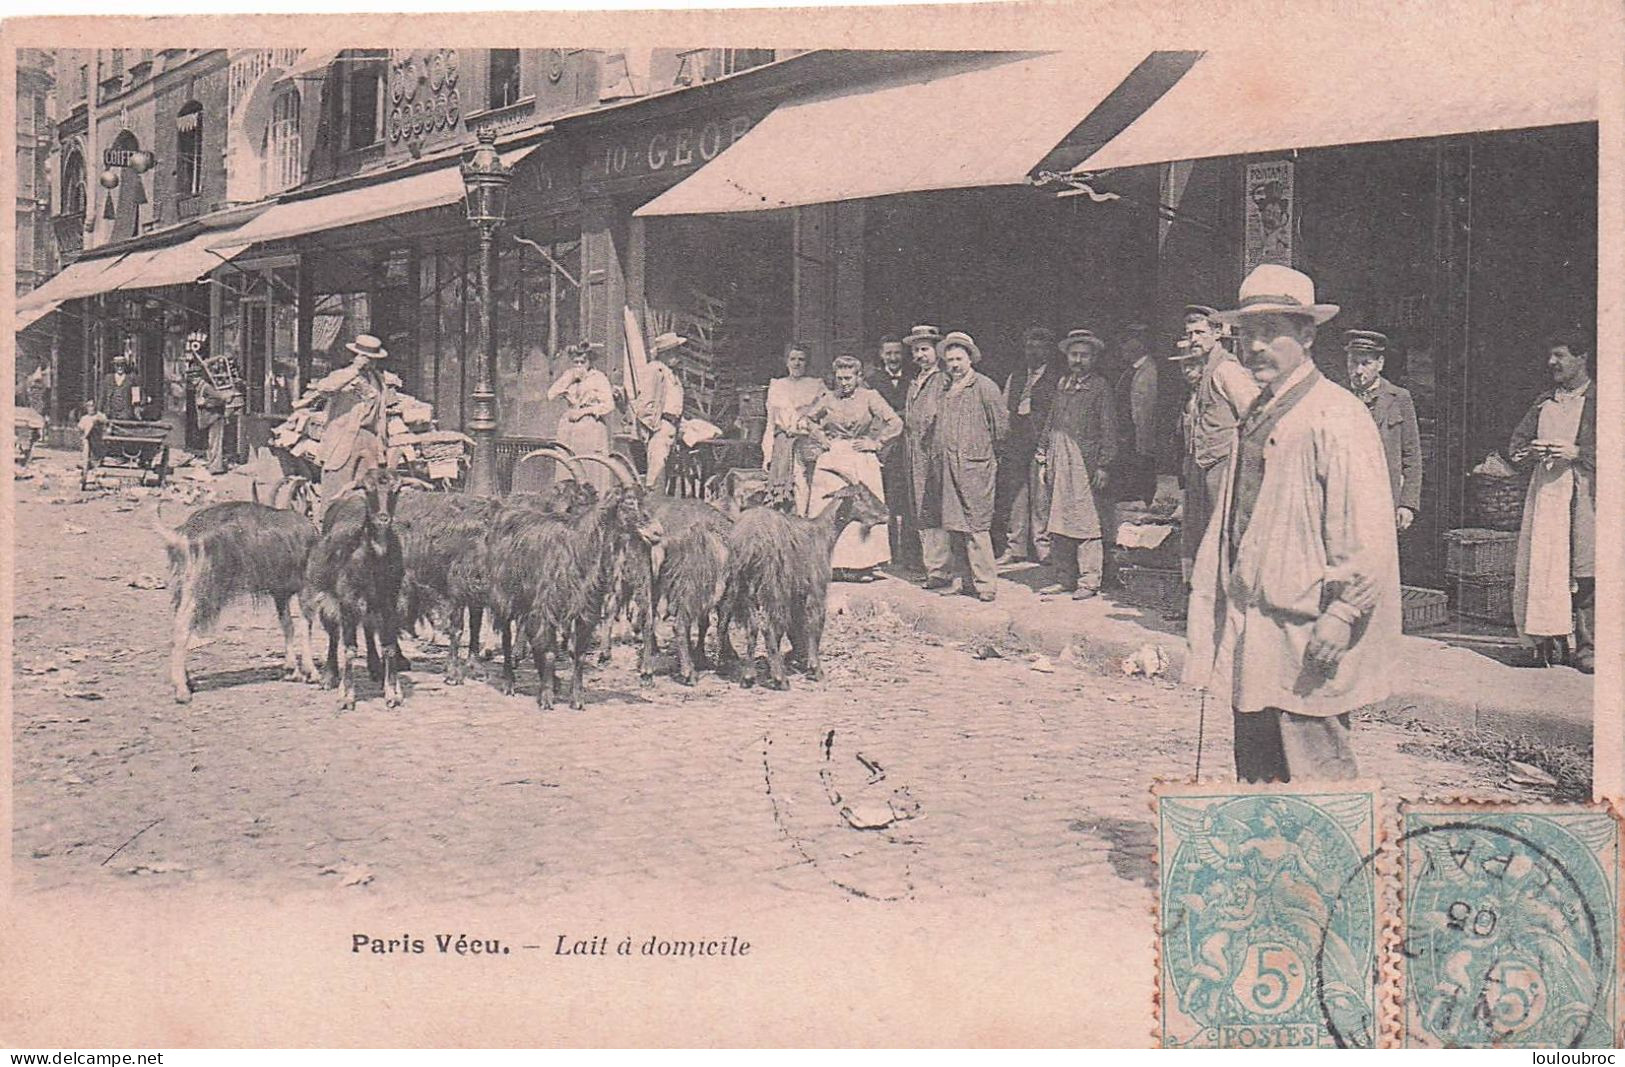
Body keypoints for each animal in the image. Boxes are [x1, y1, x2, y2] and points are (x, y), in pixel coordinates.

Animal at [156, 503, 321, 704]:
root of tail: (184, 534)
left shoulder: (280, 592)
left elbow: (288, 625)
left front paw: (291, 670)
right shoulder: (306, 586)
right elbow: (305, 627)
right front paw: (311, 673)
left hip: (184, 586)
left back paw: (187, 682)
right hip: (201, 586)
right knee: (181, 628)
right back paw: (181, 690)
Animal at [302, 467, 412, 708]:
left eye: (397, 490)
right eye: (368, 489)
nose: (383, 518)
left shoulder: (388, 601)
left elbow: (389, 646)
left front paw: (392, 692)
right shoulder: (347, 601)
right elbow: (349, 649)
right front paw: (347, 696)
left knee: (369, 630)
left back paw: (375, 667)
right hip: (330, 600)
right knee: (334, 634)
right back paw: (330, 676)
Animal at [721, 470, 884, 691]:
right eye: (861, 495)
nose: (886, 513)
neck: (820, 533)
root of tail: (751, 541)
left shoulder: (796, 593)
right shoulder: (816, 588)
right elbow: (815, 623)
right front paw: (815, 669)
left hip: (744, 586)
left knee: (752, 626)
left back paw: (748, 676)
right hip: (774, 586)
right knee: (768, 626)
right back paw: (780, 679)